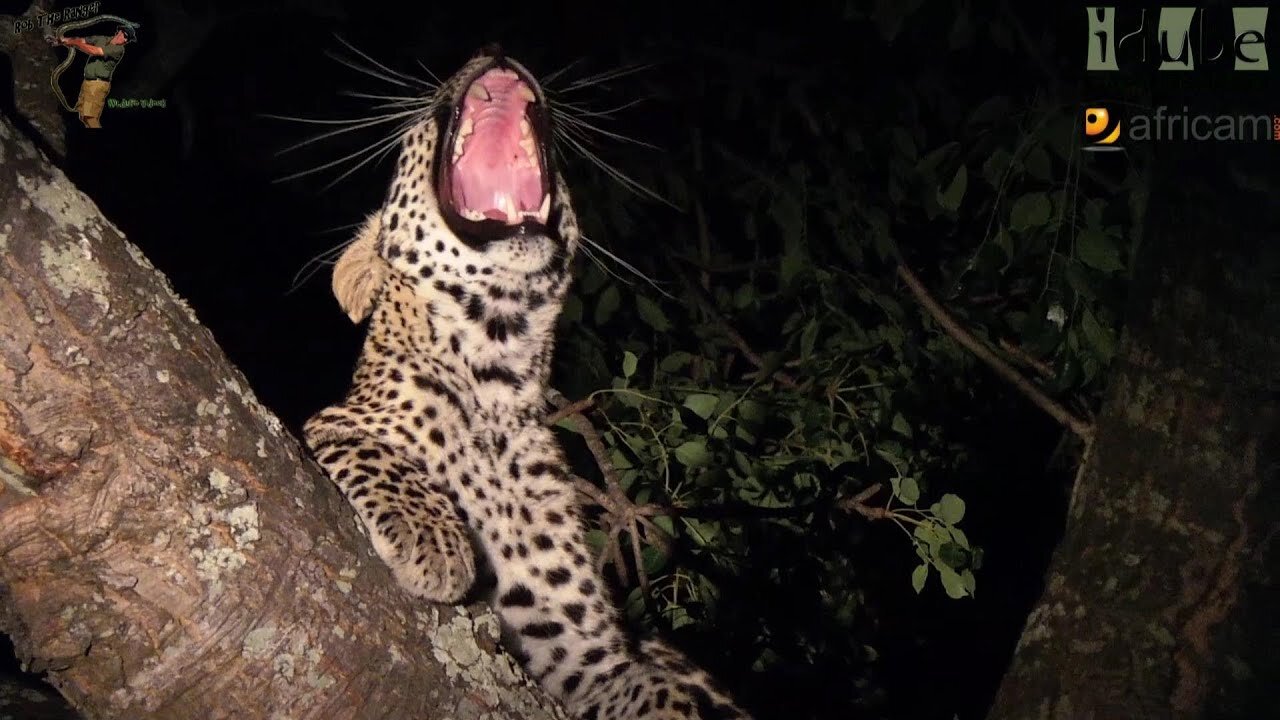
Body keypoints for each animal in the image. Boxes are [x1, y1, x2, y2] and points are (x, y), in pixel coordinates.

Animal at [302, 44, 747, 717]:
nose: (492, 49)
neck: (496, 366)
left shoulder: (580, 653)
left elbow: (648, 684)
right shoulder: (333, 420)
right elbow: (362, 443)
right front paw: (434, 539)